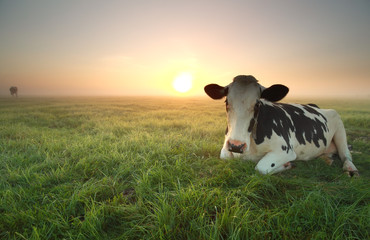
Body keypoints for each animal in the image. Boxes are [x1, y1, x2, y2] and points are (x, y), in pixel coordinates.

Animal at [205, 75, 358, 176]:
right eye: (226, 102)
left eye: (257, 104)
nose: (236, 145)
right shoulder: (225, 148)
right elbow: (224, 156)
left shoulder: (285, 150)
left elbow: (261, 168)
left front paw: (286, 165)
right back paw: (326, 159)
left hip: (339, 125)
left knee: (346, 155)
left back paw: (351, 169)